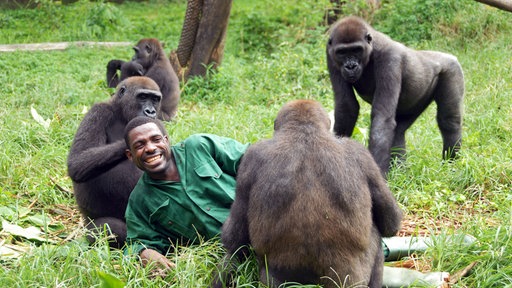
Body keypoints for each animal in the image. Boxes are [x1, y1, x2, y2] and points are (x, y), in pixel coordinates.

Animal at [328, 16, 464, 176]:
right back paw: (401, 172)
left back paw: (451, 166)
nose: (350, 66)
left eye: (356, 50)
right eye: (342, 52)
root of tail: (447, 56)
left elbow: (382, 120)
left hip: (451, 69)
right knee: (399, 131)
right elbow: (347, 106)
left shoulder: (389, 58)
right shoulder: (329, 53)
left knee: (449, 121)